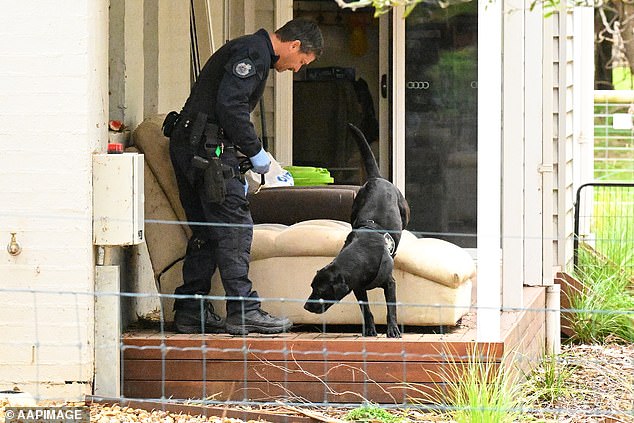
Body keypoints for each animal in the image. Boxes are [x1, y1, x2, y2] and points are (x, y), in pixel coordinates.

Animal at [302, 122, 410, 338]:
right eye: (312, 286)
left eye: (322, 291)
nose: (306, 306)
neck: (363, 255)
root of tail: (377, 178)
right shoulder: (357, 287)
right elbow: (366, 309)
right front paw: (369, 329)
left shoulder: (390, 283)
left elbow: (391, 309)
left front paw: (393, 329)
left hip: (405, 212)